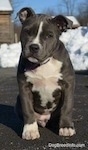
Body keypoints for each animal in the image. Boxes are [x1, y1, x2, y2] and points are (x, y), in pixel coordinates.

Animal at [15, 7, 75, 140]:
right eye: (27, 32)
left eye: (49, 36)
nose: (34, 47)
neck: (43, 63)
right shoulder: (24, 87)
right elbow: (28, 109)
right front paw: (30, 130)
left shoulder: (68, 84)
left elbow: (67, 107)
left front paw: (66, 127)